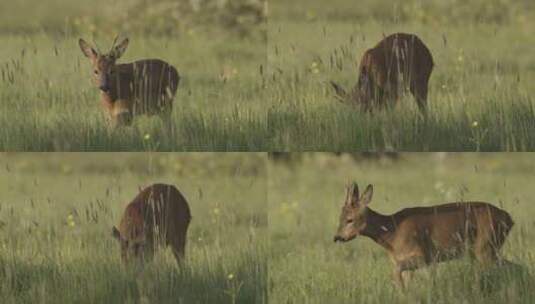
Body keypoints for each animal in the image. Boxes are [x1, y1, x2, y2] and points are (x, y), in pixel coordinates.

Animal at [336, 182, 516, 288]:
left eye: (350, 219)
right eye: (340, 217)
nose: (337, 237)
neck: (391, 234)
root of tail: (509, 218)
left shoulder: (423, 256)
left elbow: (396, 272)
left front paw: (401, 291)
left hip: (485, 246)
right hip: (486, 249)